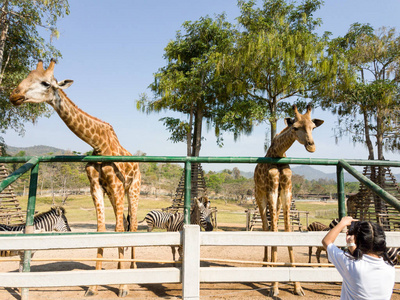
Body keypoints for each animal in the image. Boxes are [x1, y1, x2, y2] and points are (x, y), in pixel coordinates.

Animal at [9, 59, 141, 298]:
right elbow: (101, 230)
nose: (14, 96)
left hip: (133, 188)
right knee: (127, 224)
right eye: (26, 76)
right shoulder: (96, 186)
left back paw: (132, 272)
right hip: (113, 192)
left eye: (45, 83)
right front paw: (93, 287)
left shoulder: (117, 185)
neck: (99, 143)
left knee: (133, 224)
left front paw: (122, 287)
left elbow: (118, 229)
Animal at [255, 104, 324, 296]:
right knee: (266, 228)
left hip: (277, 200)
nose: (311, 146)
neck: (278, 153)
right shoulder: (272, 188)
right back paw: (265, 264)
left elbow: (286, 230)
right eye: (295, 128)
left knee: (272, 226)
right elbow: (274, 231)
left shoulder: (286, 190)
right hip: (259, 196)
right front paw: (274, 286)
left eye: (313, 127)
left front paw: (298, 286)